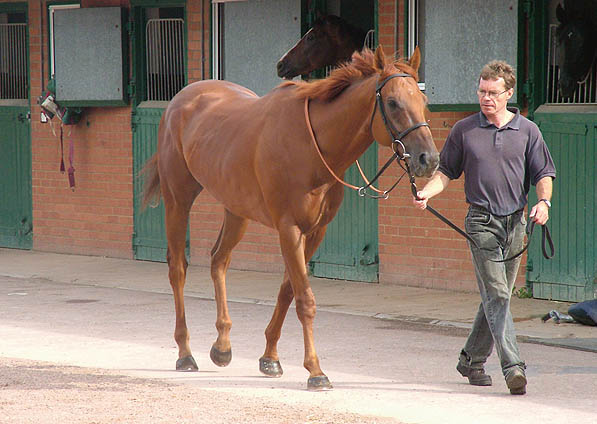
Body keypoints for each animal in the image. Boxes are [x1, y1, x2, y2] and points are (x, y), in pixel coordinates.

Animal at [140, 44, 438, 390]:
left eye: (423, 103)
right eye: (392, 103)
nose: (429, 159)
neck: (312, 146)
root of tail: (179, 101)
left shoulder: (315, 231)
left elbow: (287, 292)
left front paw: (270, 358)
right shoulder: (289, 229)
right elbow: (305, 300)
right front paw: (315, 371)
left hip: (236, 210)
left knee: (218, 261)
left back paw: (222, 347)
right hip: (178, 201)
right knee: (178, 269)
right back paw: (185, 353)